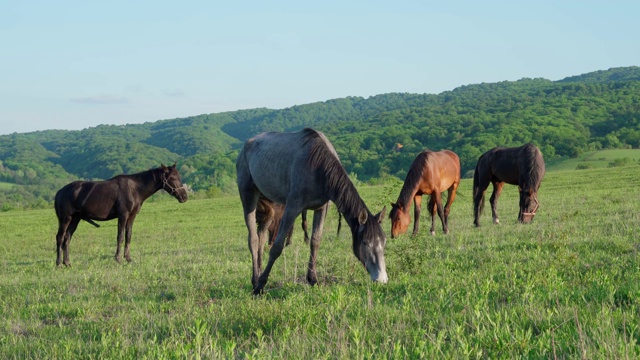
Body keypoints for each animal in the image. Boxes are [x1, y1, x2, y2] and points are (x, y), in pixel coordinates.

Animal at [54, 165, 188, 266]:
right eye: (173, 177)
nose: (184, 196)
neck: (134, 189)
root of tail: (59, 192)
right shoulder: (123, 215)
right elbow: (120, 236)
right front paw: (118, 258)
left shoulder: (131, 217)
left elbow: (128, 236)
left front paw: (128, 258)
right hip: (65, 219)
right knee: (60, 237)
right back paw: (59, 263)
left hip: (75, 219)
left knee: (67, 238)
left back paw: (67, 262)